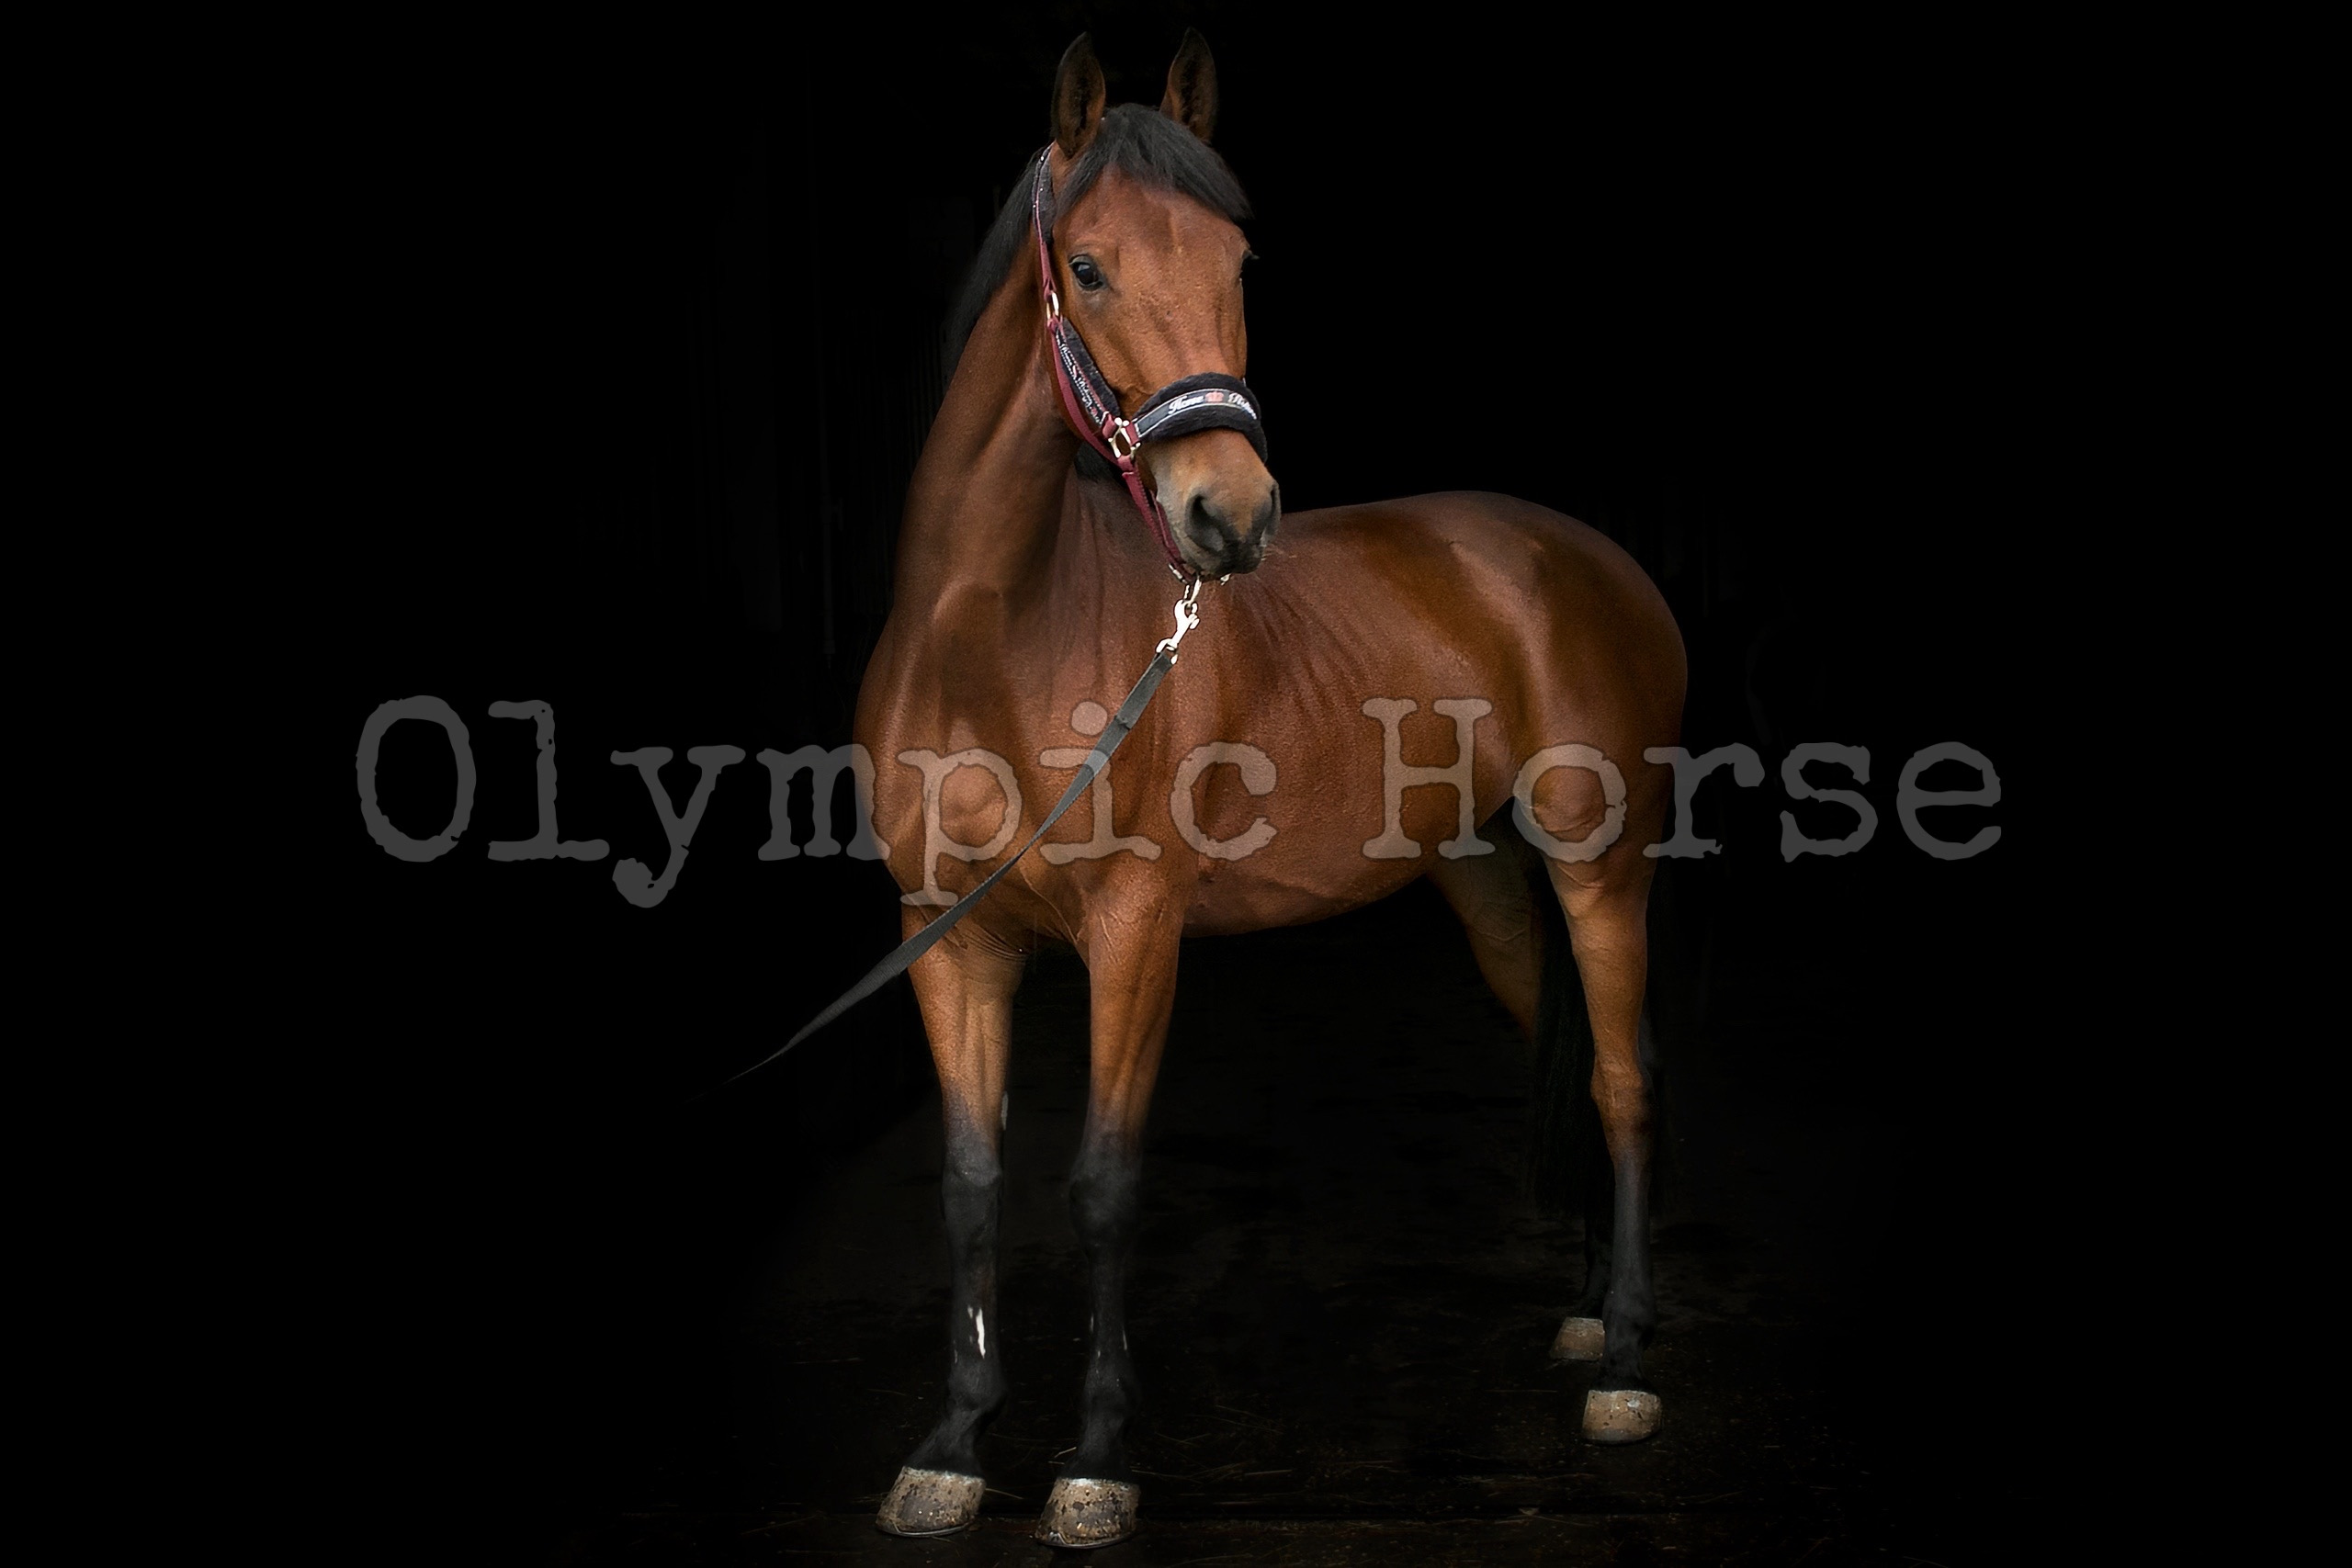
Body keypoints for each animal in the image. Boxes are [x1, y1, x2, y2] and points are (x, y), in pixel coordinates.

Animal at [851, 31, 1685, 1548]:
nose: (1228, 517)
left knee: (1622, 1075)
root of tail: (1584, 556)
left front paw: (1097, 1458)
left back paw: (1631, 1363)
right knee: (1579, 1056)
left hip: (1604, 865)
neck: (987, 631)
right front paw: (950, 1442)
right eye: (1090, 266)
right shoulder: (948, 935)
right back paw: (1595, 1315)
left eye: (1239, 260)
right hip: (1494, 889)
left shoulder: (1134, 931)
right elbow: (973, 1181)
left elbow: (1103, 1180)